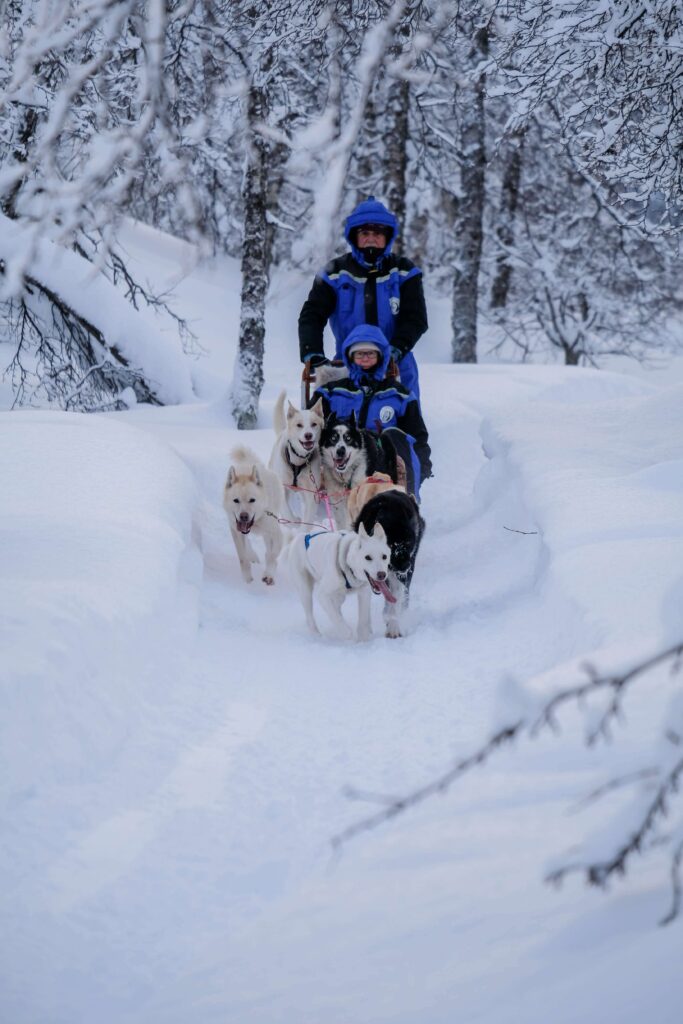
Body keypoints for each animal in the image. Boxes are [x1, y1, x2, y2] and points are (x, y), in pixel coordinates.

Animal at [223, 446, 284, 585]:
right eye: (236, 500)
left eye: (252, 500)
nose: (243, 516)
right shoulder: (235, 530)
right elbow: (242, 557)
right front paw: (247, 579)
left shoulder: (276, 533)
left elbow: (272, 555)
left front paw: (268, 574)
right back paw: (253, 555)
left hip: (268, 532)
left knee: (268, 550)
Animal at [266, 387, 325, 524]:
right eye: (299, 425)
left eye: (314, 424)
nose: (308, 435)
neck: (298, 460)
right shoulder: (282, 488)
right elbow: (288, 514)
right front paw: (293, 522)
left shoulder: (311, 492)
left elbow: (307, 518)